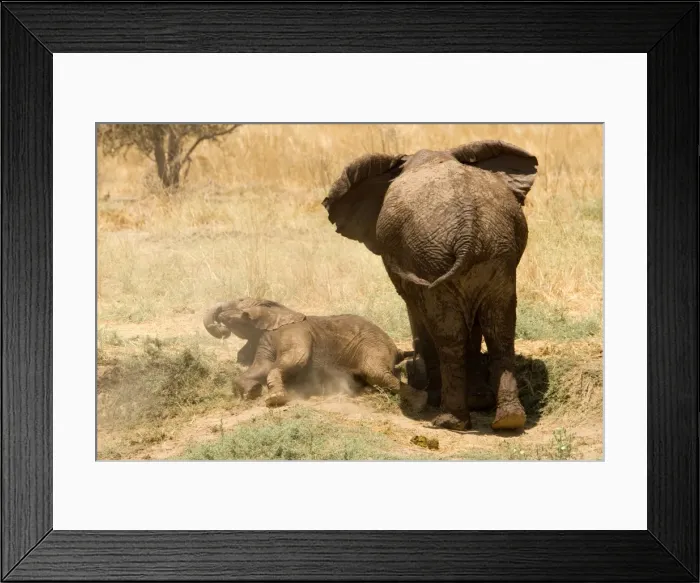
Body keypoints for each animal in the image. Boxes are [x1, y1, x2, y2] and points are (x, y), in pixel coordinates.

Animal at [203, 297, 429, 412]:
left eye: (239, 300)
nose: (221, 328)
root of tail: (396, 349)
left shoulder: (294, 332)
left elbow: (294, 360)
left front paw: (275, 400)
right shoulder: (265, 338)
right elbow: (262, 366)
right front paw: (250, 392)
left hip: (374, 345)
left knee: (376, 372)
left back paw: (419, 402)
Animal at [322, 140, 538, 431]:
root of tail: (469, 229)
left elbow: (418, 312)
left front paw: (439, 398)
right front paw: (479, 401)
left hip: (432, 258)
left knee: (449, 334)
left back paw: (449, 421)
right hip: (496, 256)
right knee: (500, 330)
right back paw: (508, 421)